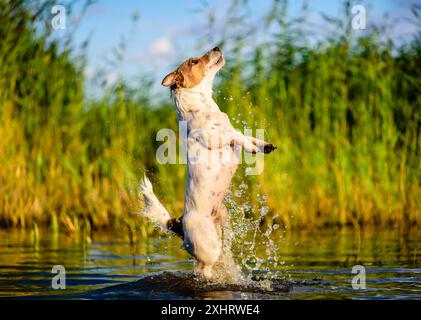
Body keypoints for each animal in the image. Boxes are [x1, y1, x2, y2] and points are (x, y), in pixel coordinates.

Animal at [139, 47, 274, 278]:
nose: (217, 47)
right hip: (209, 248)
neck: (203, 104)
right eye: (194, 61)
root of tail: (179, 225)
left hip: (222, 225)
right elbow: (238, 136)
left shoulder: (230, 130)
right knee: (203, 268)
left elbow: (244, 135)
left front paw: (263, 146)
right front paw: (251, 147)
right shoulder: (215, 138)